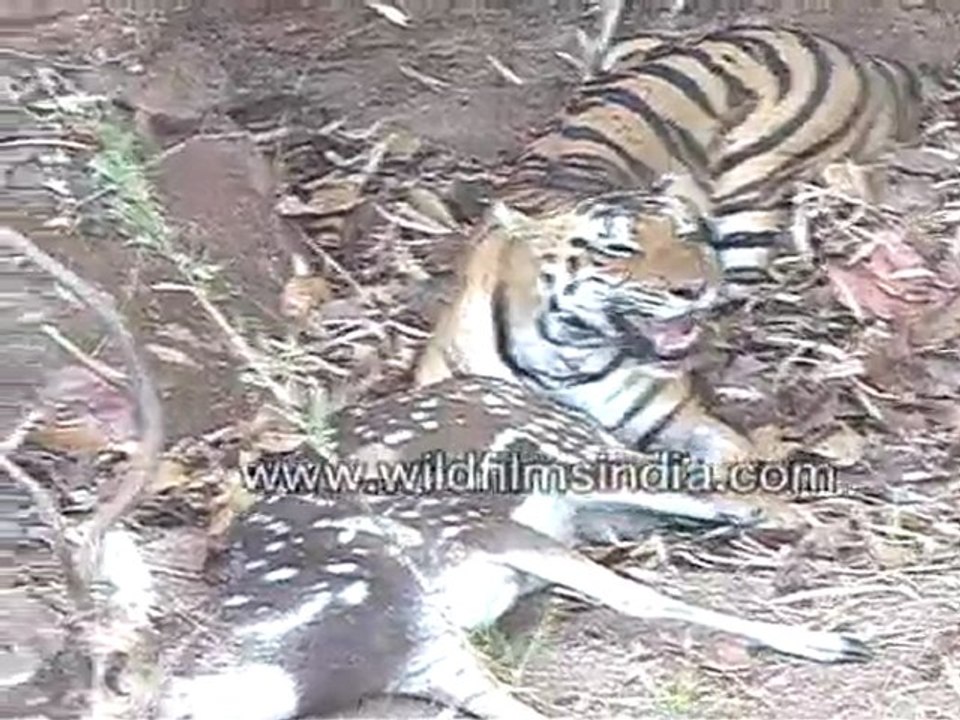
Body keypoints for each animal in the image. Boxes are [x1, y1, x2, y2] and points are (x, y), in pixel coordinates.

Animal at [414, 24, 925, 465]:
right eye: (618, 250)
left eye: (687, 234)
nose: (693, 289)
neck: (566, 353)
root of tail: (857, 55)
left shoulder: (682, 420)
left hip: (748, 193)